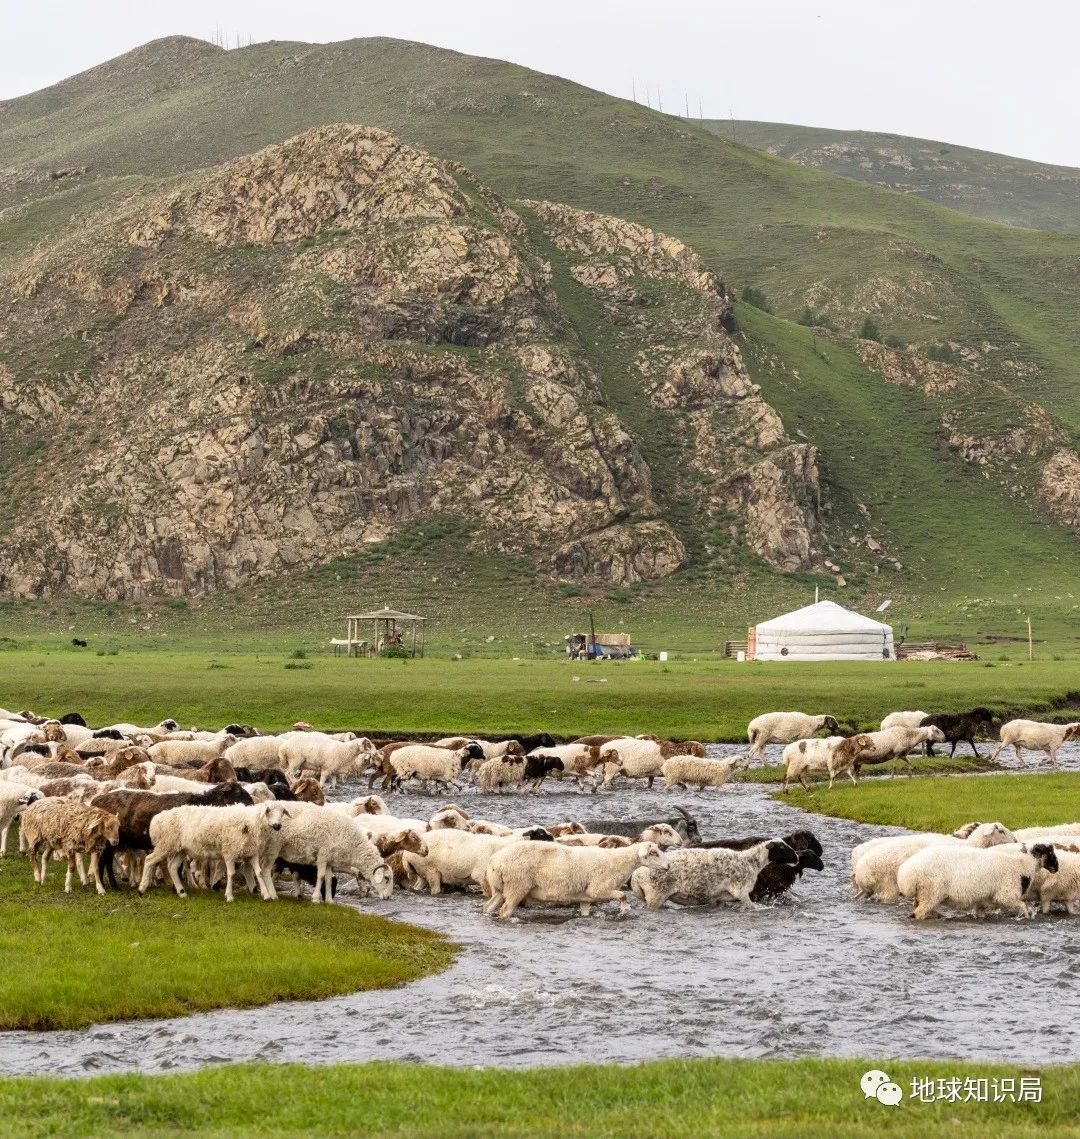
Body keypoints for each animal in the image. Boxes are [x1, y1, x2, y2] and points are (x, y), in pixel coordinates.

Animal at [138, 797, 291, 902]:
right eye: (268, 811)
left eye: (282, 812)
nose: (277, 826)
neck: (251, 823)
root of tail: (157, 819)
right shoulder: (229, 852)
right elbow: (231, 874)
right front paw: (229, 896)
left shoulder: (251, 853)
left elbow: (258, 873)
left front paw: (266, 895)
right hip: (166, 844)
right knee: (149, 860)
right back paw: (142, 888)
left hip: (180, 849)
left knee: (172, 867)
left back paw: (182, 892)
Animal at [483, 842, 665, 920]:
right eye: (654, 852)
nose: (668, 865)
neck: (617, 861)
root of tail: (494, 861)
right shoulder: (598, 889)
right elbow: (622, 895)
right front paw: (624, 909)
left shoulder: (586, 897)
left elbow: (585, 912)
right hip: (517, 884)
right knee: (505, 910)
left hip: (500, 889)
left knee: (488, 906)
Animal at [628, 842, 797, 911]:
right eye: (782, 847)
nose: (797, 858)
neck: (750, 861)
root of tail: (636, 875)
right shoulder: (741, 892)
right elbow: (751, 906)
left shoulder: (719, 898)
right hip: (655, 896)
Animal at [893, 842, 1061, 920]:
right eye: (1050, 852)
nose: (1056, 868)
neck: (1022, 864)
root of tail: (908, 872)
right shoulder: (1005, 895)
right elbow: (1023, 906)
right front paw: (1026, 917)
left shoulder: (982, 901)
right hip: (931, 893)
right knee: (919, 913)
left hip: (922, 895)